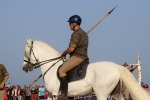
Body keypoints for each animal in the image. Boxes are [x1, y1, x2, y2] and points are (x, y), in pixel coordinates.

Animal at [22, 39, 150, 100]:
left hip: (101, 93)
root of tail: (117, 67)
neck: (52, 67)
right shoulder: (53, 95)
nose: (24, 68)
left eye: (26, 51)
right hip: (116, 93)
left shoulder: (54, 94)